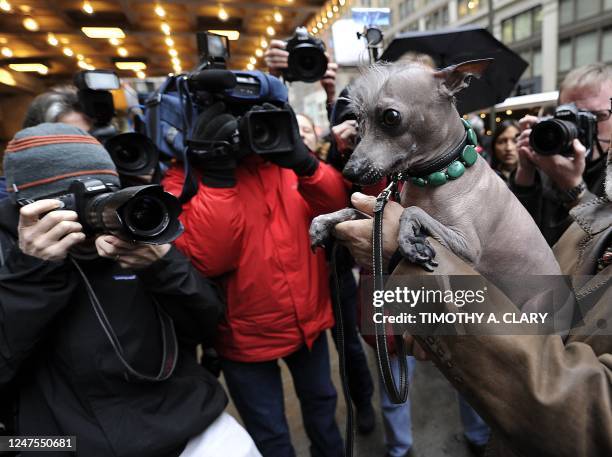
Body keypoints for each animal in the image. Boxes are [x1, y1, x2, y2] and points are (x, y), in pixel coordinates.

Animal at [310, 60, 564, 308]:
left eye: (391, 116)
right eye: (359, 120)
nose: (349, 172)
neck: (441, 172)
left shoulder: (468, 248)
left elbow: (413, 211)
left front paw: (408, 241)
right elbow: (357, 210)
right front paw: (324, 222)